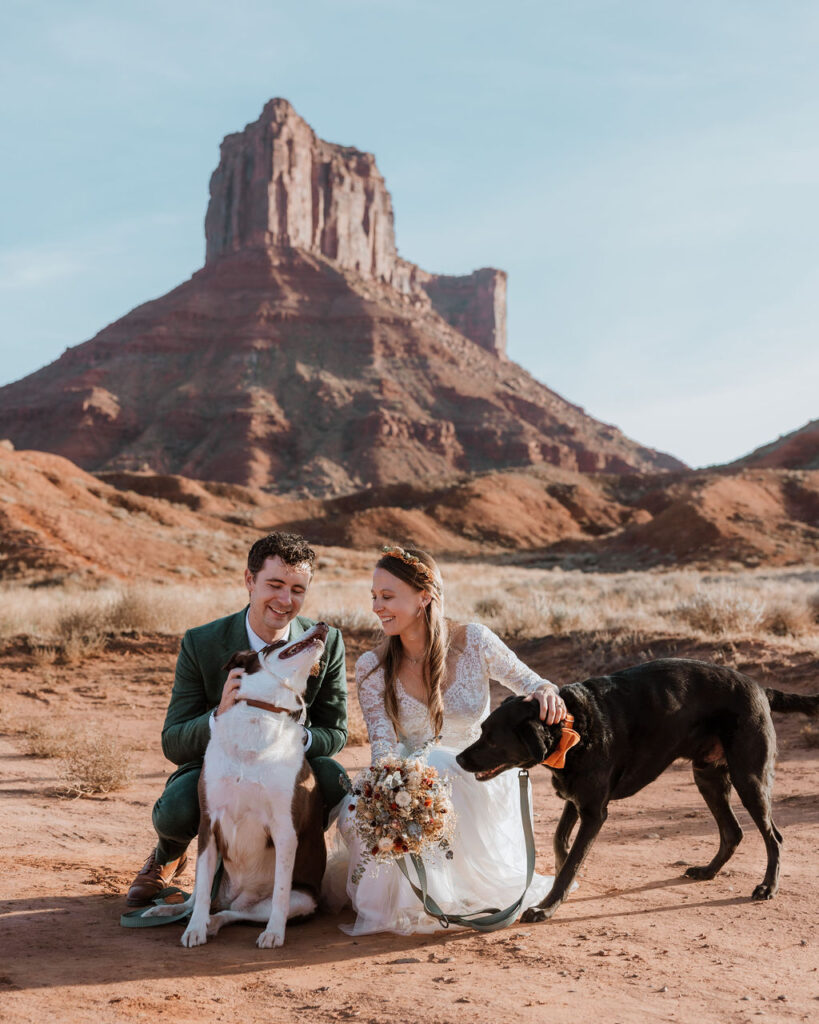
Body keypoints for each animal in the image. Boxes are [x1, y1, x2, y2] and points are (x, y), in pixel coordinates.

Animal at [145, 618, 327, 946]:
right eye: (277, 645)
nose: (323, 624)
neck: (260, 714)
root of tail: (236, 898)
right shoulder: (209, 822)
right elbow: (202, 892)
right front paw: (193, 930)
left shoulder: (285, 830)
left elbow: (281, 892)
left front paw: (274, 933)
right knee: (199, 899)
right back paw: (169, 911)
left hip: (301, 900)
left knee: (235, 914)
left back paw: (218, 923)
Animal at [456, 659, 814, 925]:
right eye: (482, 731)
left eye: (491, 739)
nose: (459, 758)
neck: (572, 726)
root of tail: (760, 688)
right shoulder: (576, 800)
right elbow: (560, 842)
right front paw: (561, 884)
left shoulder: (594, 812)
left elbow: (572, 860)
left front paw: (547, 906)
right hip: (708, 778)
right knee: (732, 831)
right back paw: (708, 871)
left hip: (748, 778)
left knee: (773, 836)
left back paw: (768, 887)